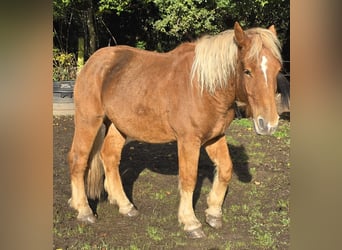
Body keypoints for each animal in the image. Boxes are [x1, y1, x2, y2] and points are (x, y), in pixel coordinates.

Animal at [69, 22, 284, 238]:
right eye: (247, 71)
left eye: (277, 70)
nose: (268, 124)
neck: (204, 88)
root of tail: (93, 61)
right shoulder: (188, 140)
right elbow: (189, 179)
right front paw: (190, 222)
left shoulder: (214, 137)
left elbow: (225, 170)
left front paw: (213, 213)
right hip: (89, 120)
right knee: (78, 159)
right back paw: (84, 210)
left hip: (118, 125)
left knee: (110, 157)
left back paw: (125, 205)